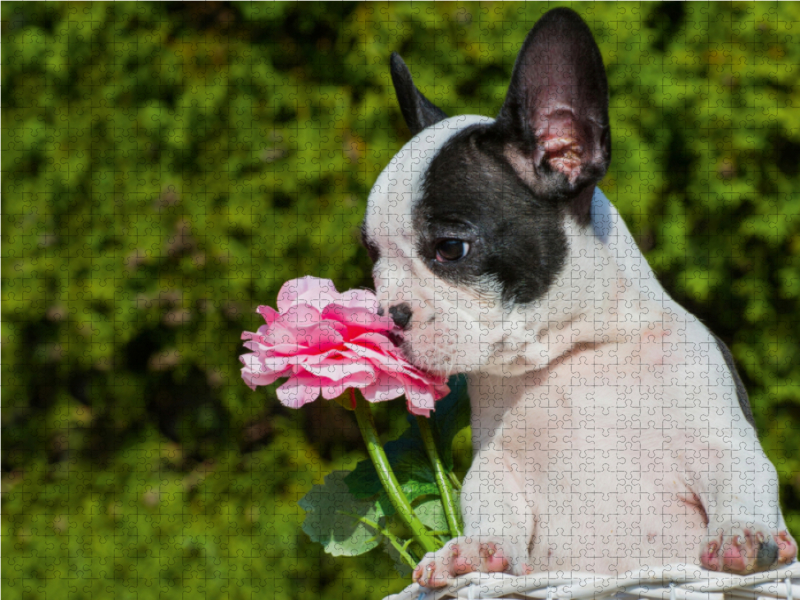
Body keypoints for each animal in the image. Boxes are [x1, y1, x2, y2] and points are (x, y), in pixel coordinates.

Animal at [360, 5, 792, 584]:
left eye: (451, 248)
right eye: (371, 254)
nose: (389, 316)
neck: (571, 353)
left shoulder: (722, 435)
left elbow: (745, 478)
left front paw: (742, 536)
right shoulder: (496, 466)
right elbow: (489, 503)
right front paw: (474, 548)